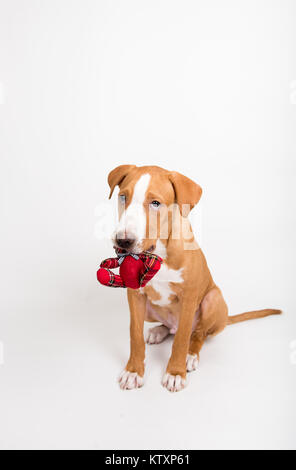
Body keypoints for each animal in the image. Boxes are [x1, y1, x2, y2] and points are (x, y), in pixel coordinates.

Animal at [107, 163, 282, 392]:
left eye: (155, 203)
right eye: (123, 197)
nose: (123, 242)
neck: (159, 253)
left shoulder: (189, 298)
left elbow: (181, 339)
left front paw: (175, 372)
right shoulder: (135, 295)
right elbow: (134, 335)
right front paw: (133, 372)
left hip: (213, 299)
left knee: (198, 333)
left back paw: (190, 355)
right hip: (150, 312)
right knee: (172, 329)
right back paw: (159, 331)